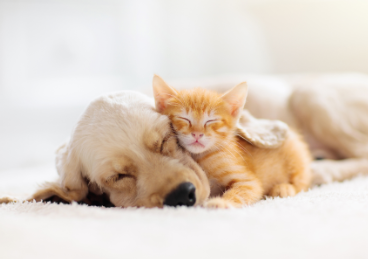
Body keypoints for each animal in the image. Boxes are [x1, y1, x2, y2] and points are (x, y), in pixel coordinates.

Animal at [152, 75, 310, 209]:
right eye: (184, 118)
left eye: (211, 120)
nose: (197, 134)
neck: (201, 157)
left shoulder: (248, 181)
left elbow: (241, 192)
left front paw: (221, 202)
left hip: (296, 157)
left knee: (303, 182)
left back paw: (284, 188)